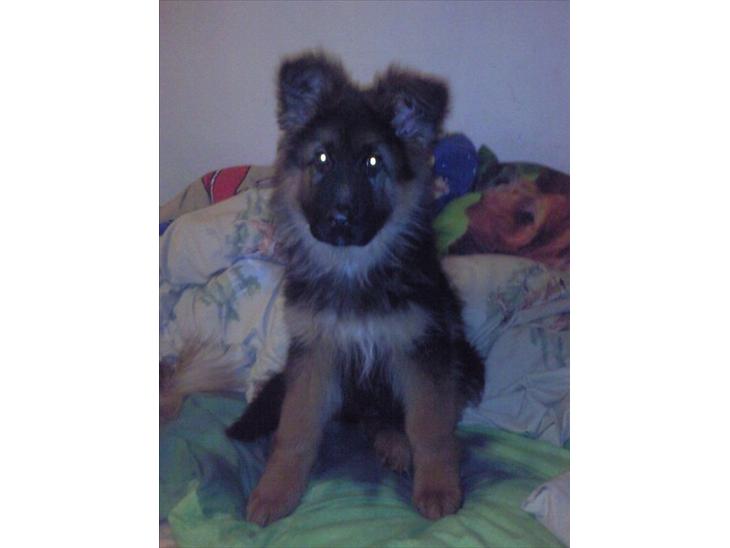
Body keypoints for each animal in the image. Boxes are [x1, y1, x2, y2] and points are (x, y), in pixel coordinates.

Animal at [226, 52, 485, 526]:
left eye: (372, 163)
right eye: (322, 158)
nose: (339, 219)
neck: (353, 269)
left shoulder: (423, 350)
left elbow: (430, 426)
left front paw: (439, 486)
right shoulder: (315, 353)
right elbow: (295, 429)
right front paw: (275, 491)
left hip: (467, 360)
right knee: (372, 422)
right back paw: (390, 443)